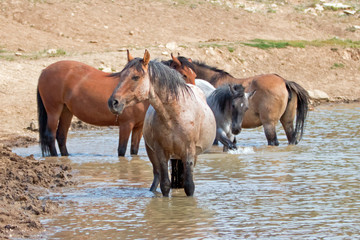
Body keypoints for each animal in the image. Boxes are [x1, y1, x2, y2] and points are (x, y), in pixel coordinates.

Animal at [107, 49, 217, 196]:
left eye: (135, 77)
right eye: (121, 76)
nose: (113, 102)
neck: (174, 116)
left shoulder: (189, 153)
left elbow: (189, 186)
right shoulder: (161, 153)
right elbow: (165, 184)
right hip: (153, 154)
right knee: (157, 175)